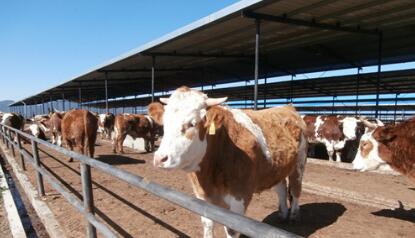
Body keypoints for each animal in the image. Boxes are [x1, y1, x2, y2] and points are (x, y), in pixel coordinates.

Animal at [154, 87, 308, 238]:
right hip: (278, 168)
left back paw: (294, 216)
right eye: (164, 123)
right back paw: (283, 214)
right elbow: (207, 223)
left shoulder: (240, 196)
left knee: (295, 189)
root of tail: (288, 107)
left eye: (192, 123)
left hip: (300, 162)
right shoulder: (201, 195)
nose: (159, 159)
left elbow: (231, 229)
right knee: (281, 188)